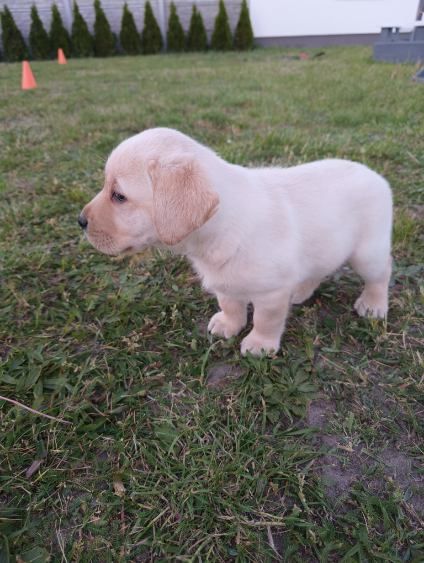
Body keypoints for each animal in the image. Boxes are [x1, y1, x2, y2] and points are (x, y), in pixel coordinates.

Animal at [78, 130, 390, 354]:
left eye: (119, 196)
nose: (80, 221)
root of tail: (375, 174)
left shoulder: (271, 293)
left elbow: (265, 320)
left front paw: (259, 344)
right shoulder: (224, 281)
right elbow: (230, 304)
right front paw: (229, 324)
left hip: (368, 253)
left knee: (381, 274)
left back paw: (373, 305)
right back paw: (301, 290)